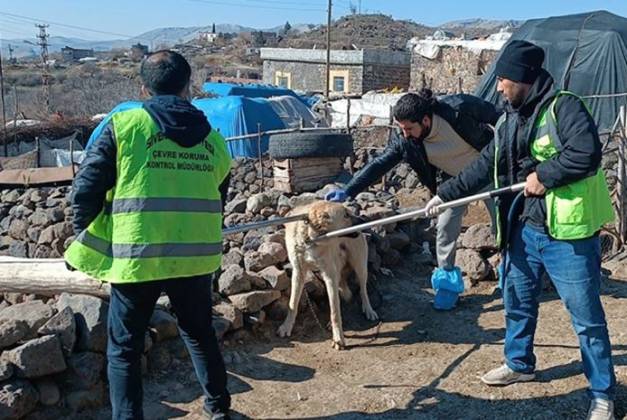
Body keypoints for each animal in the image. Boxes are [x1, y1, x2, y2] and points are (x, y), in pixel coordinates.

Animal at [278, 199, 378, 348]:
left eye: (349, 212)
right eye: (345, 215)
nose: (364, 220)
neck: (310, 239)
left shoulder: (330, 275)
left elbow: (335, 311)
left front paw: (338, 338)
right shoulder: (298, 273)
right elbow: (292, 304)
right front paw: (286, 326)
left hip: (359, 266)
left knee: (362, 290)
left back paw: (368, 309)